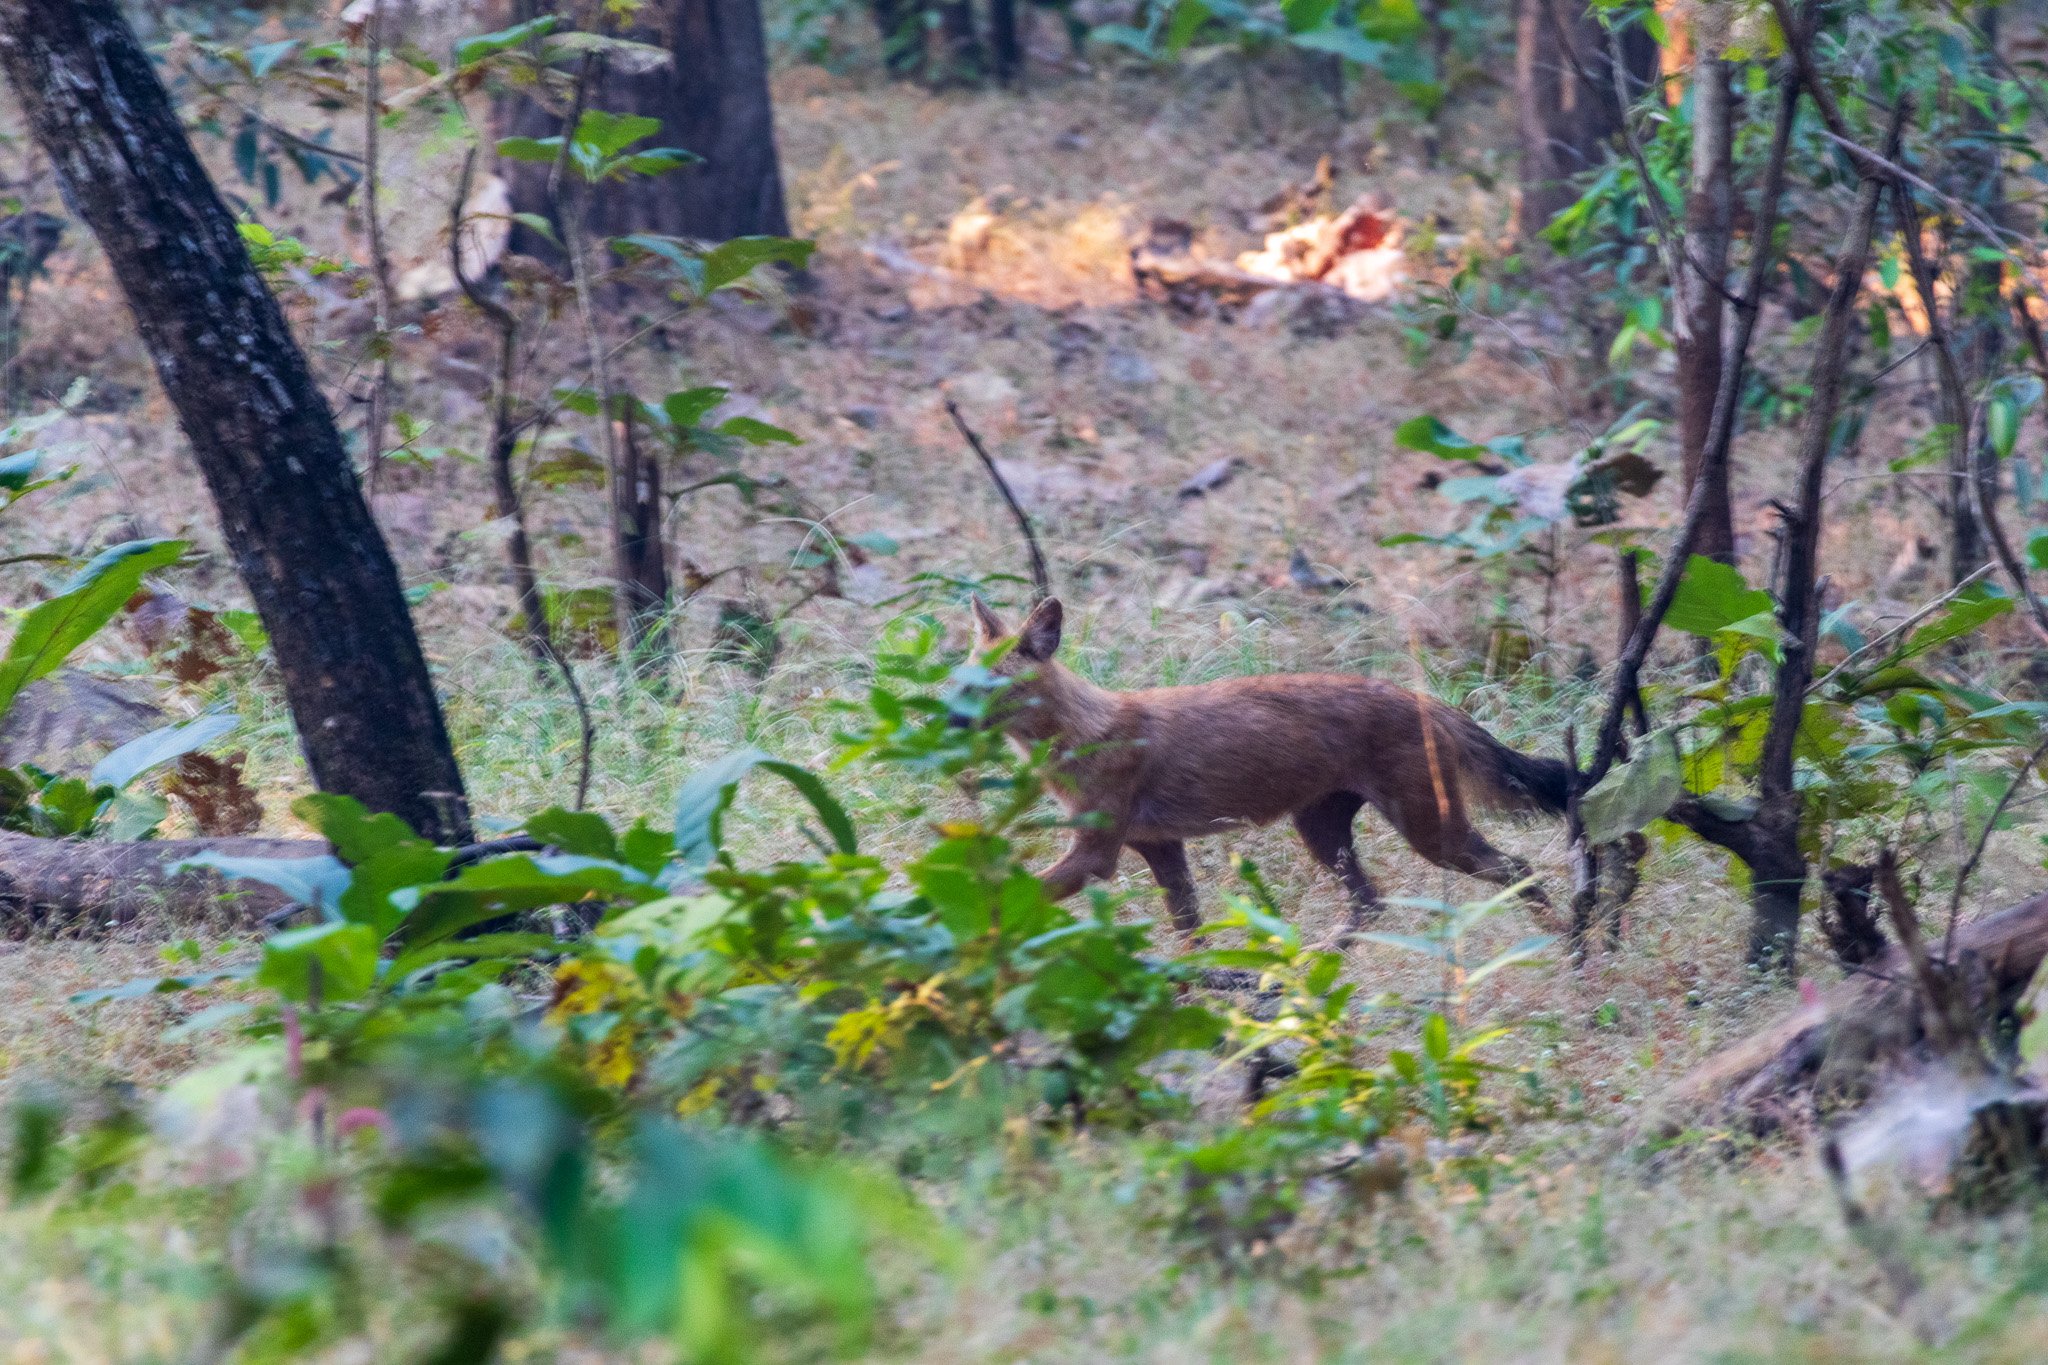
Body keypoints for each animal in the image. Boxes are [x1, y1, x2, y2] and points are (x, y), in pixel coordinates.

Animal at [966, 593, 1572, 941]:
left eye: (992, 685)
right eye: (961, 677)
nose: (949, 714)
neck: (1082, 735)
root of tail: (1427, 700)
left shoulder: (1097, 856)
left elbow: (1003, 903)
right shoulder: (1160, 847)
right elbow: (1189, 933)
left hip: (1431, 833)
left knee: (1518, 869)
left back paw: (1569, 950)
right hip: (1323, 832)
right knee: (1371, 902)